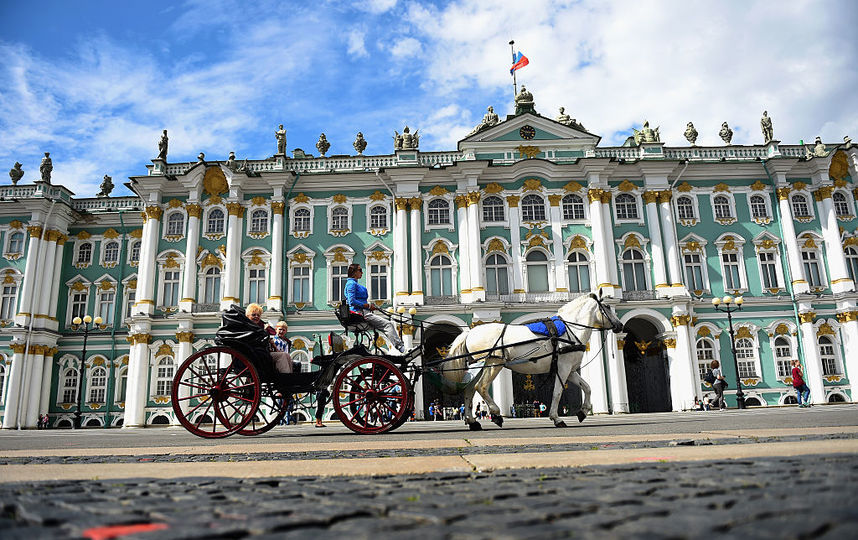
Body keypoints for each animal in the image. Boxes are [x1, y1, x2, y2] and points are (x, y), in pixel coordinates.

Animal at [438, 294, 620, 428]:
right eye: (607, 307)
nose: (620, 325)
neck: (569, 330)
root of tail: (470, 332)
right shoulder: (562, 368)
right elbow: (557, 393)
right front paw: (557, 419)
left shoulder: (570, 370)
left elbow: (587, 387)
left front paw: (582, 412)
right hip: (493, 364)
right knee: (480, 387)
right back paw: (496, 415)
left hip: (478, 366)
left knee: (469, 390)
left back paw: (472, 422)